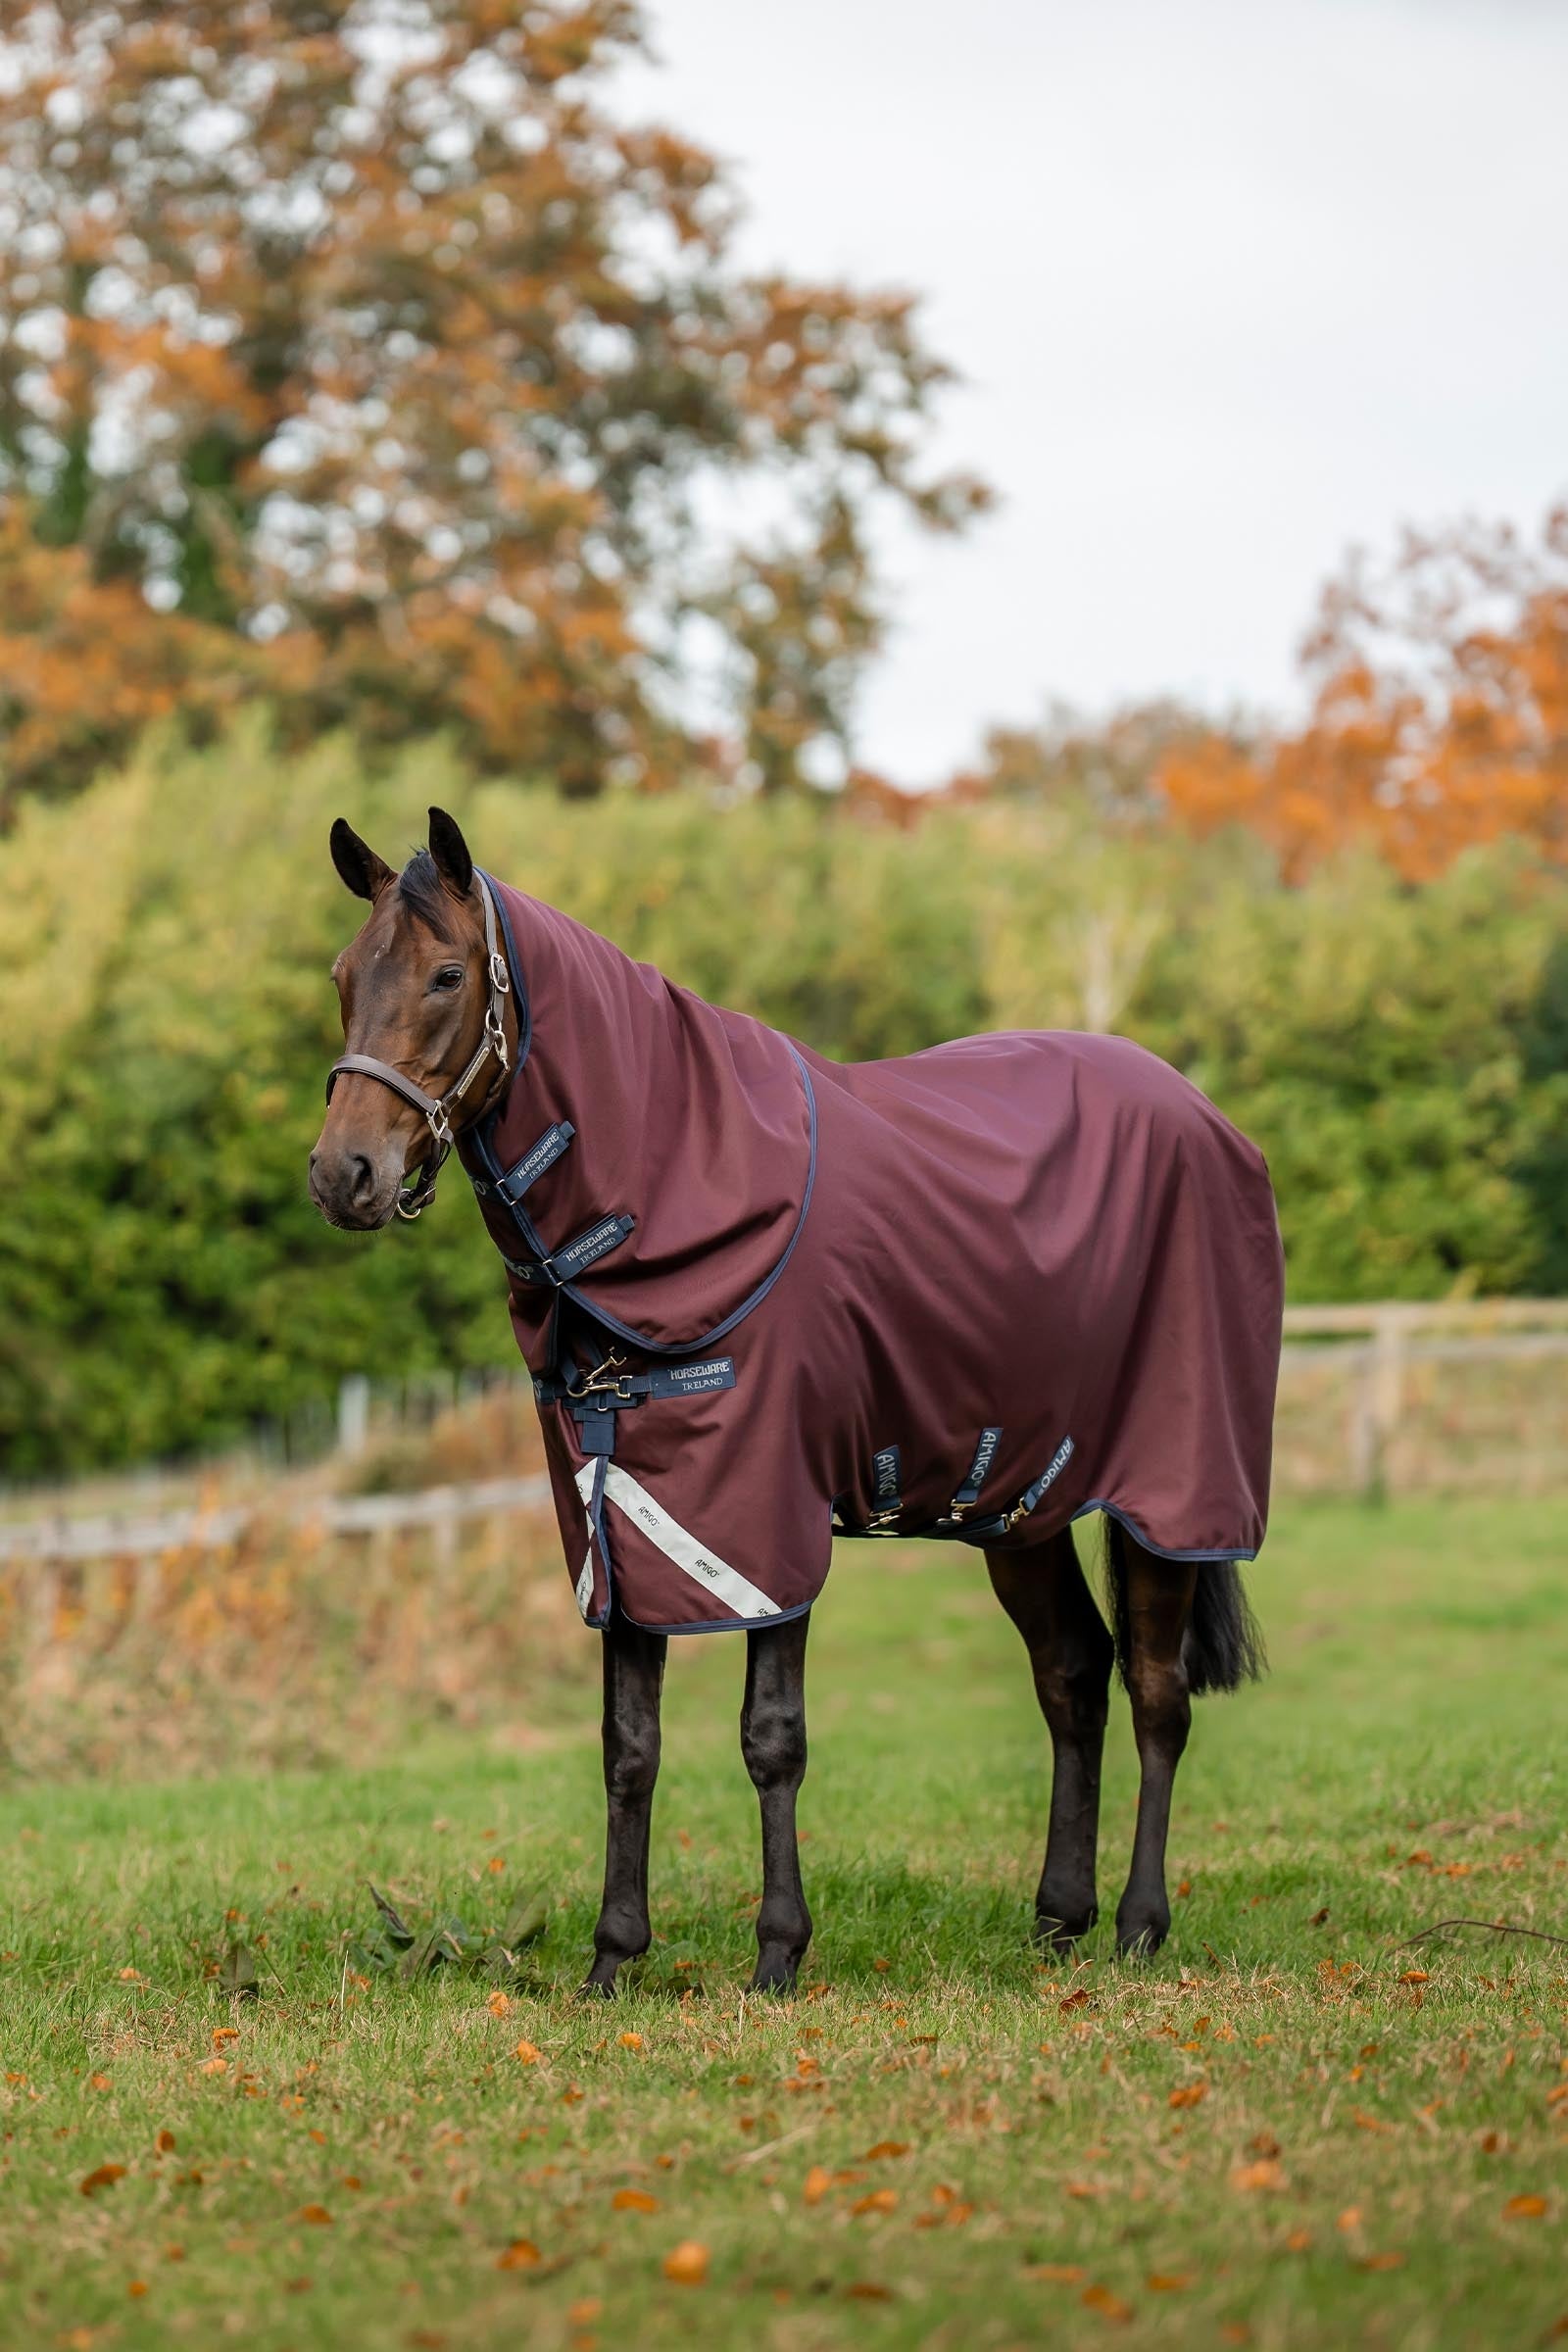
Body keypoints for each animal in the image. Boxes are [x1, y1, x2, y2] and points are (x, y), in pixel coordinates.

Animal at [310, 808, 1282, 1994]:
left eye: (448, 974)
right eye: (345, 975)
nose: (342, 1174)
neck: (678, 1189)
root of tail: (1204, 1114)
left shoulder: (764, 1516)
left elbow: (770, 1735)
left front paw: (777, 1953)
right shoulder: (619, 1518)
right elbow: (628, 1747)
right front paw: (611, 1960)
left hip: (1170, 1487)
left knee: (1154, 1689)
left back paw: (1141, 1926)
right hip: (1018, 1499)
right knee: (1071, 1673)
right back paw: (1059, 1919)